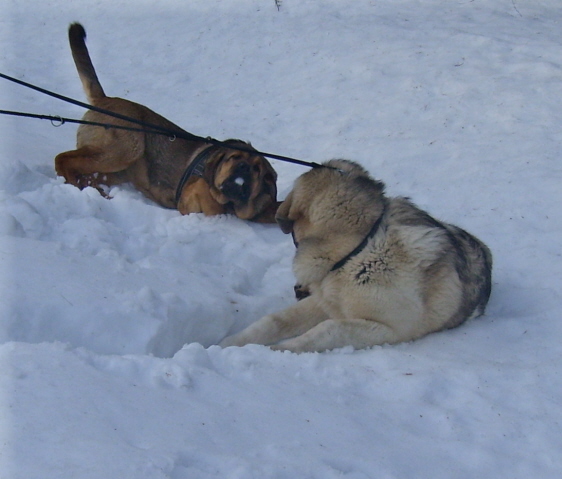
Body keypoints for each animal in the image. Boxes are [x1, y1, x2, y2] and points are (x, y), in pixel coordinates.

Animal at [54, 23, 278, 223]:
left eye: (257, 169)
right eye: (234, 158)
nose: (243, 168)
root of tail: (103, 100)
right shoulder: (194, 193)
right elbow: (212, 203)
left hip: (115, 169)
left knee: (84, 172)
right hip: (125, 149)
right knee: (63, 159)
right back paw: (75, 185)